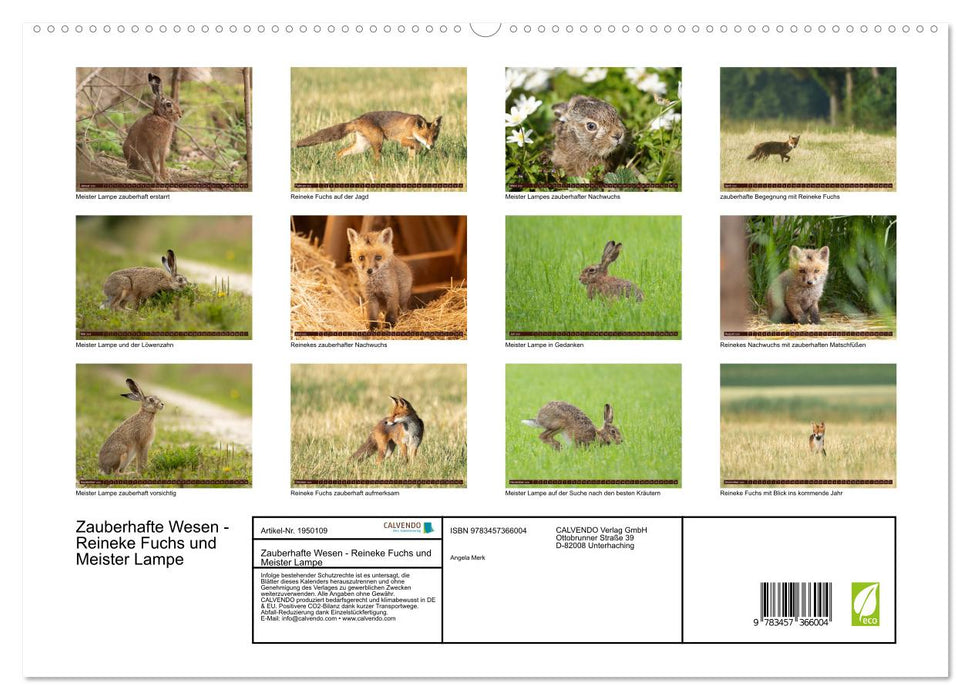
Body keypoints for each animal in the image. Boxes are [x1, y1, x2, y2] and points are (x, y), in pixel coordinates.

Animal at [294, 111, 443, 161]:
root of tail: (358, 119)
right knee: (375, 158)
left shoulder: (410, 144)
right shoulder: (403, 139)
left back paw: (338, 164)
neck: (412, 127)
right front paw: (420, 150)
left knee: (340, 152)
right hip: (378, 141)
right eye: (425, 137)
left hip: (361, 147)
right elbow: (416, 145)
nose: (431, 146)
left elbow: (412, 156)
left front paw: (412, 166)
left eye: (434, 137)